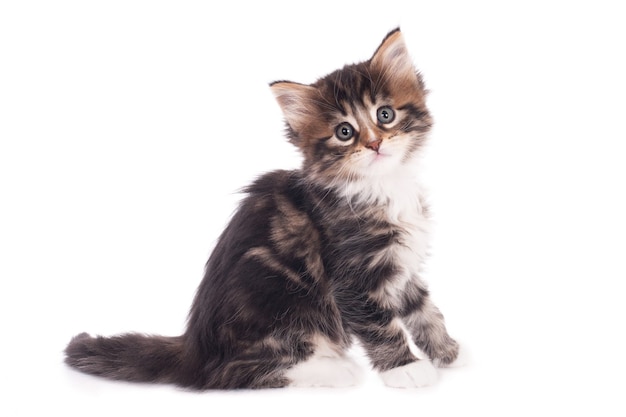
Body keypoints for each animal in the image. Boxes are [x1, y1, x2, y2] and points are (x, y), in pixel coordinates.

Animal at [66, 28, 460, 386]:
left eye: (385, 114)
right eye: (344, 132)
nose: (376, 143)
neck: (382, 185)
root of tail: (195, 349)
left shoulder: (401, 266)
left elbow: (424, 308)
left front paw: (448, 351)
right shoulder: (353, 276)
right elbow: (380, 323)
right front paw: (406, 368)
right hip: (278, 296)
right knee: (233, 372)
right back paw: (333, 369)